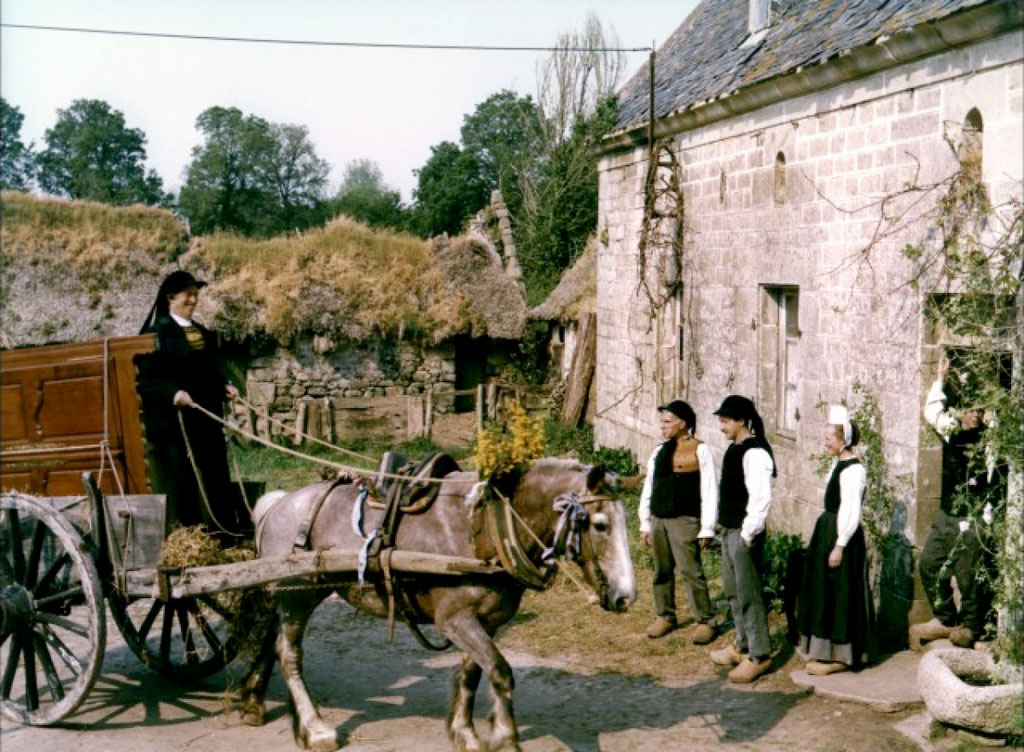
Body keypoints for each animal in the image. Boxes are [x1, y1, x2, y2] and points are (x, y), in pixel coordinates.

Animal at [241, 456, 638, 749]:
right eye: (600, 524)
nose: (626, 596)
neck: (483, 528)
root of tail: (277, 505)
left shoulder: (485, 621)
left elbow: (473, 673)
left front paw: (466, 733)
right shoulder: (455, 620)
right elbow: (500, 671)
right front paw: (504, 738)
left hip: (289, 595)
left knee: (269, 639)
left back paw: (253, 703)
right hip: (296, 595)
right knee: (289, 654)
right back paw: (315, 728)